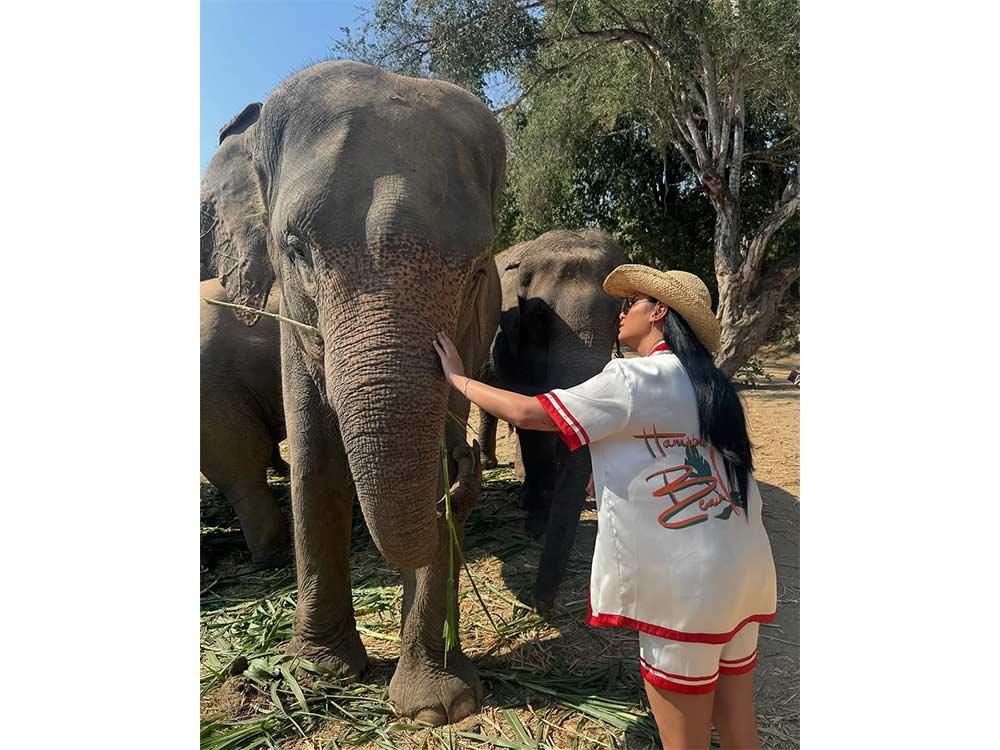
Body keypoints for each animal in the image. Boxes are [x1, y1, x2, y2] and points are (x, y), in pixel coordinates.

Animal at [476, 229, 625, 612]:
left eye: (617, 318)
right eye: (539, 317)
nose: (538, 603)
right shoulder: (509, 340)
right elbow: (528, 408)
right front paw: (535, 524)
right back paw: (495, 469)